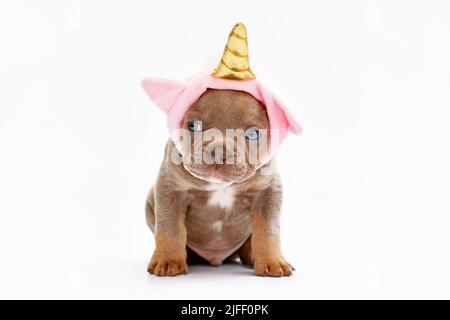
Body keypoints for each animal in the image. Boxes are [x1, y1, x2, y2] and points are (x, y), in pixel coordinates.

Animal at [143, 89, 292, 276]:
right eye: (193, 125)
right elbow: (170, 228)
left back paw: (252, 254)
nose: (218, 151)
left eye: (253, 135)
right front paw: (168, 260)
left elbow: (269, 231)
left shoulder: (267, 192)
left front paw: (272, 261)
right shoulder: (171, 189)